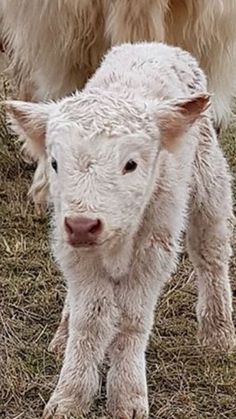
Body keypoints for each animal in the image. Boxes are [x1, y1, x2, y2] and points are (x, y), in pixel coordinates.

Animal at [5, 43, 234, 419]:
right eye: (54, 163)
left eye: (131, 164)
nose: (83, 225)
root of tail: (153, 45)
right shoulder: (73, 250)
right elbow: (90, 319)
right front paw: (70, 396)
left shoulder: (154, 248)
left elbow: (131, 318)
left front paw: (127, 397)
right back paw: (63, 334)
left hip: (208, 180)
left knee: (211, 252)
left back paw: (218, 334)